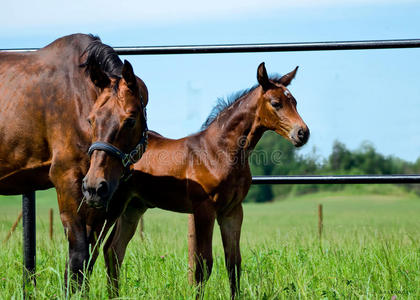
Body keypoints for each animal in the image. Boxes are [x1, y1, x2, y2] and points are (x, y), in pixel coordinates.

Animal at [0, 34, 149, 288]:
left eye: (130, 120)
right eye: (91, 120)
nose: (95, 186)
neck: (78, 93)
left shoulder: (100, 200)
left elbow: (89, 258)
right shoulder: (66, 180)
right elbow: (78, 255)